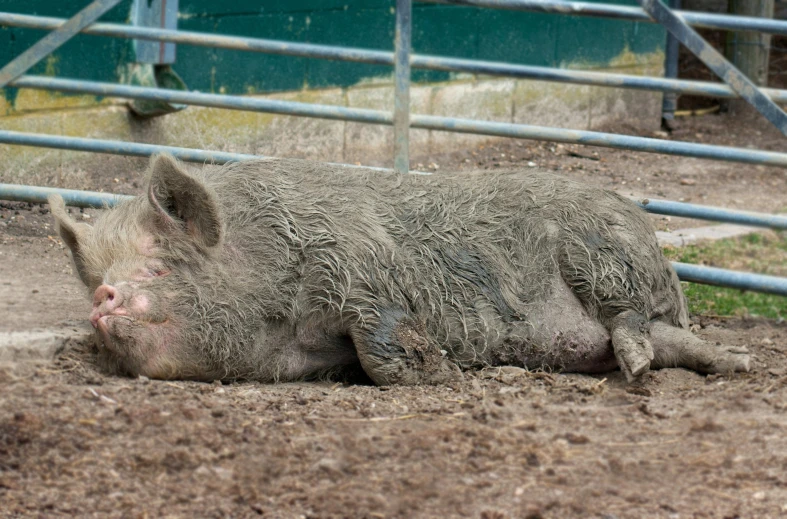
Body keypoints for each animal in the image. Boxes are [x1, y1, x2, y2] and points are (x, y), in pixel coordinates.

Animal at [49, 154, 752, 386]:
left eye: (159, 268)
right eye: (98, 273)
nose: (103, 294)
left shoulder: (362, 273)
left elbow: (382, 344)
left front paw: (440, 372)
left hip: (601, 255)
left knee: (630, 318)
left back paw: (639, 369)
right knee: (669, 340)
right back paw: (734, 365)